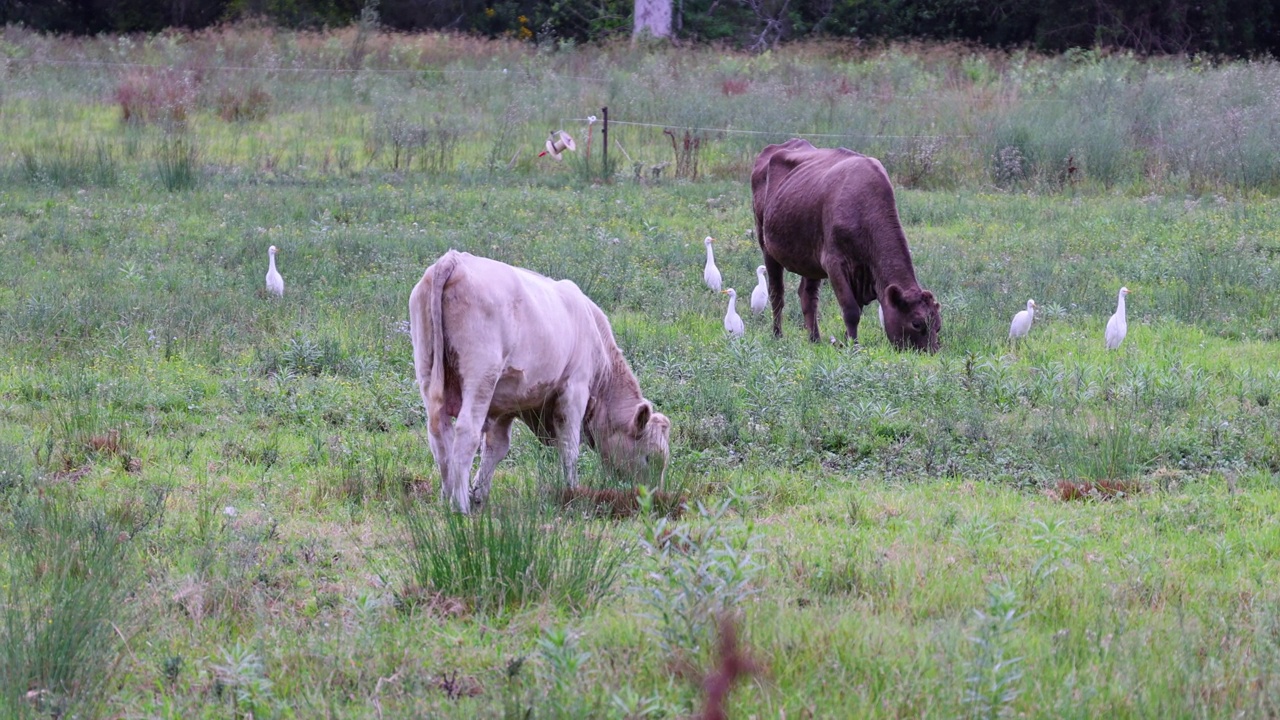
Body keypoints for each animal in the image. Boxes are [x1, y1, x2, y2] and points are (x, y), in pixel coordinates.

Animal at [409, 249, 675, 507]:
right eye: (649, 457)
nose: (654, 499)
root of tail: (454, 259)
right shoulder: (575, 389)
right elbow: (569, 447)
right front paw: (572, 492)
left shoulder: (505, 405)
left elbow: (496, 448)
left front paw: (479, 495)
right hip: (481, 376)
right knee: (466, 433)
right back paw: (460, 506)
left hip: (427, 371)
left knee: (439, 435)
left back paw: (446, 499)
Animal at [747, 137, 942, 351]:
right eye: (916, 323)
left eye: (938, 326)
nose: (931, 352)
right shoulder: (834, 263)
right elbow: (851, 310)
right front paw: (854, 347)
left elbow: (856, 309)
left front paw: (847, 341)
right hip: (767, 245)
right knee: (777, 294)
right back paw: (777, 335)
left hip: (810, 258)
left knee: (808, 296)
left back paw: (815, 339)